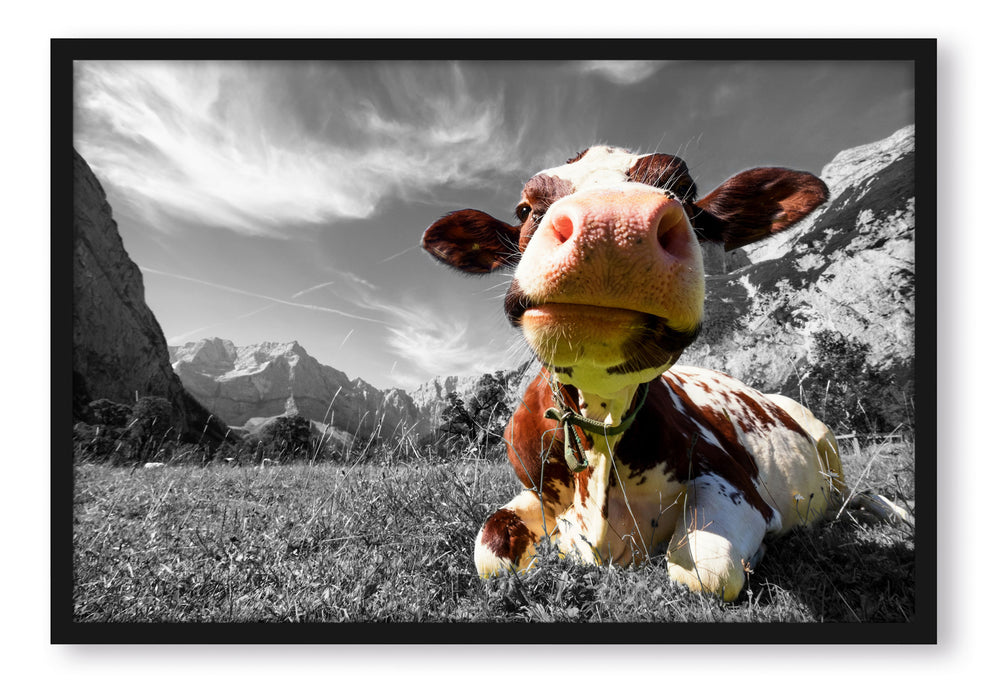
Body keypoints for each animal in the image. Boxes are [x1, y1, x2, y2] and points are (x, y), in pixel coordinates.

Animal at [422, 145, 903, 601]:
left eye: (686, 190)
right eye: (525, 209)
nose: (612, 225)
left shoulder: (735, 483)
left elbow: (705, 570)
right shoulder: (533, 491)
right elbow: (490, 551)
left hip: (827, 441)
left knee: (857, 493)